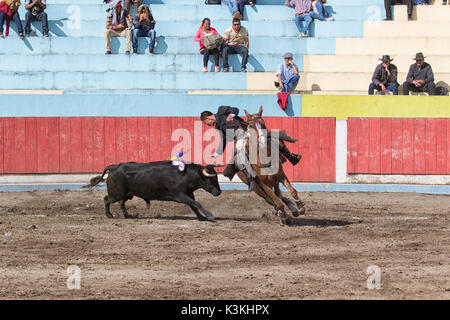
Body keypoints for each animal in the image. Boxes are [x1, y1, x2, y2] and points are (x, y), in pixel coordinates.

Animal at [83, 161, 222, 221]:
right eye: (211, 179)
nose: (219, 193)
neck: (186, 175)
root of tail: (114, 167)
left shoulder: (188, 194)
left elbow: (193, 205)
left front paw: (201, 217)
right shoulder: (180, 195)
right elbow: (197, 204)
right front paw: (209, 216)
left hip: (127, 194)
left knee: (121, 203)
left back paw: (128, 215)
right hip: (117, 193)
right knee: (107, 199)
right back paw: (109, 215)